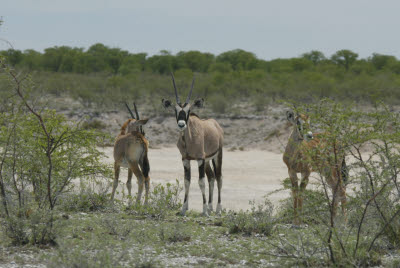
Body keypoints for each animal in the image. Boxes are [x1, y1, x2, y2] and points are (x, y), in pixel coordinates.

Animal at [162, 74, 225, 217]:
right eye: (175, 110)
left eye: (188, 110)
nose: (181, 124)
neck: (188, 140)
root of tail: (216, 124)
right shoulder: (186, 159)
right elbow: (187, 182)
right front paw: (183, 209)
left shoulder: (200, 159)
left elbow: (201, 182)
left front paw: (204, 211)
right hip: (207, 160)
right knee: (211, 177)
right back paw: (210, 207)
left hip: (217, 156)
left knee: (219, 177)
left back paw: (217, 209)